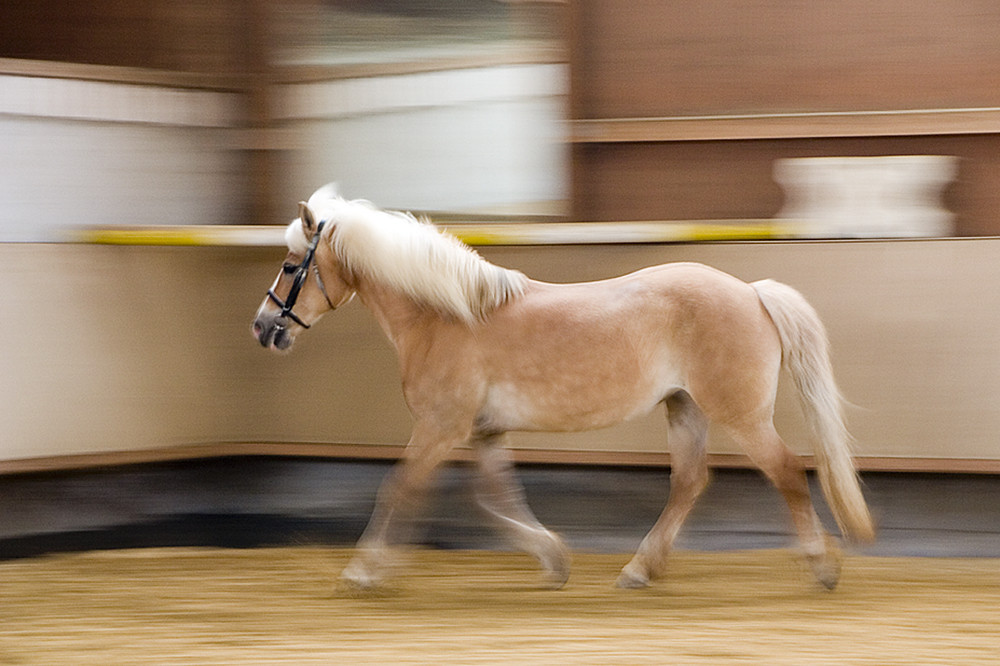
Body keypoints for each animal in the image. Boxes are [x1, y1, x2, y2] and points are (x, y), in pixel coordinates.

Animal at [252, 184, 876, 588]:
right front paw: (554, 558)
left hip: (740, 414)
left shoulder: (439, 427)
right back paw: (639, 569)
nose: (262, 327)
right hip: (685, 408)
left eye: (289, 265)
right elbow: (496, 497)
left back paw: (823, 568)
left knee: (788, 473)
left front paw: (363, 571)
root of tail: (751, 292)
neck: (446, 317)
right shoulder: (482, 432)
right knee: (690, 482)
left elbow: (400, 488)